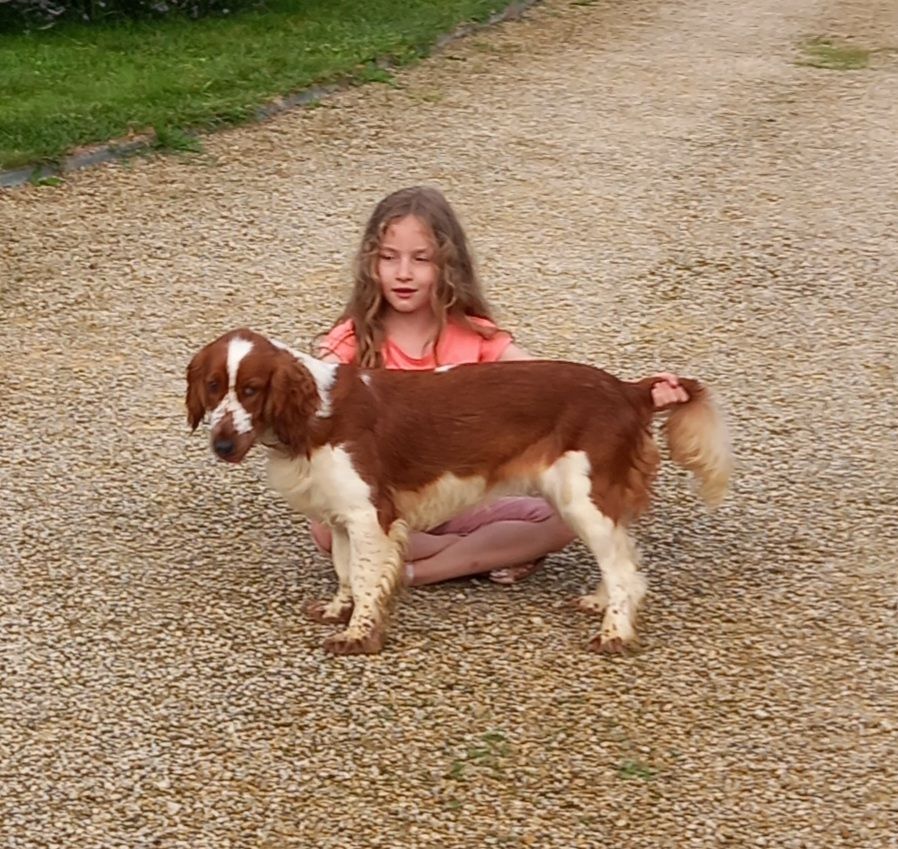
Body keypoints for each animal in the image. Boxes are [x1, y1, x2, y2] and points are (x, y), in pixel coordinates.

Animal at [186, 330, 732, 656]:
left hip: (583, 497)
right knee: (623, 556)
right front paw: (339, 611)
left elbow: (363, 578)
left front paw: (358, 635)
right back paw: (600, 604)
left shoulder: (369, 514)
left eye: (252, 389)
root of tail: (627, 389)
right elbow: (345, 571)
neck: (310, 416)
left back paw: (615, 633)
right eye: (213, 386)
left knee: (623, 569)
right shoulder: (343, 514)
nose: (222, 443)